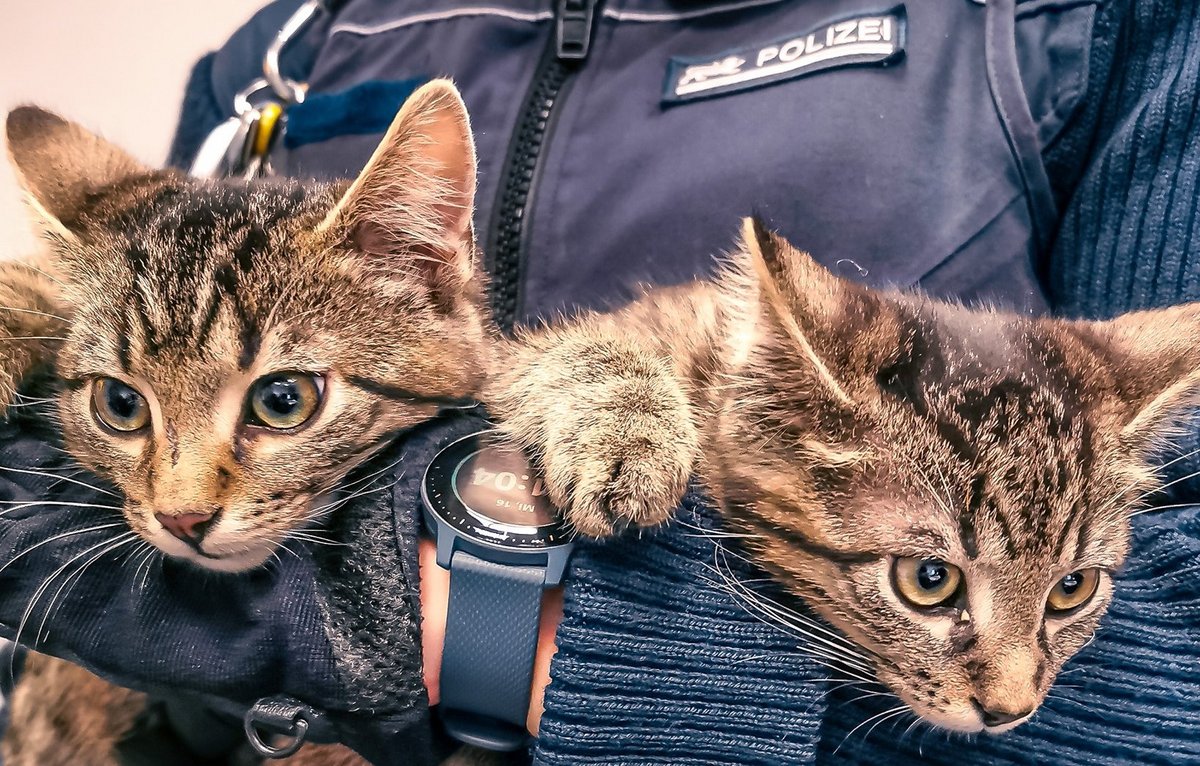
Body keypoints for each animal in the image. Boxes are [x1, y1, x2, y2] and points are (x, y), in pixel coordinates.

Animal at [487, 218, 1200, 734]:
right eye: (929, 580)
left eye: (1072, 589)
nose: (1010, 709)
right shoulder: (512, 357)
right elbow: (558, 355)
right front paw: (628, 433)